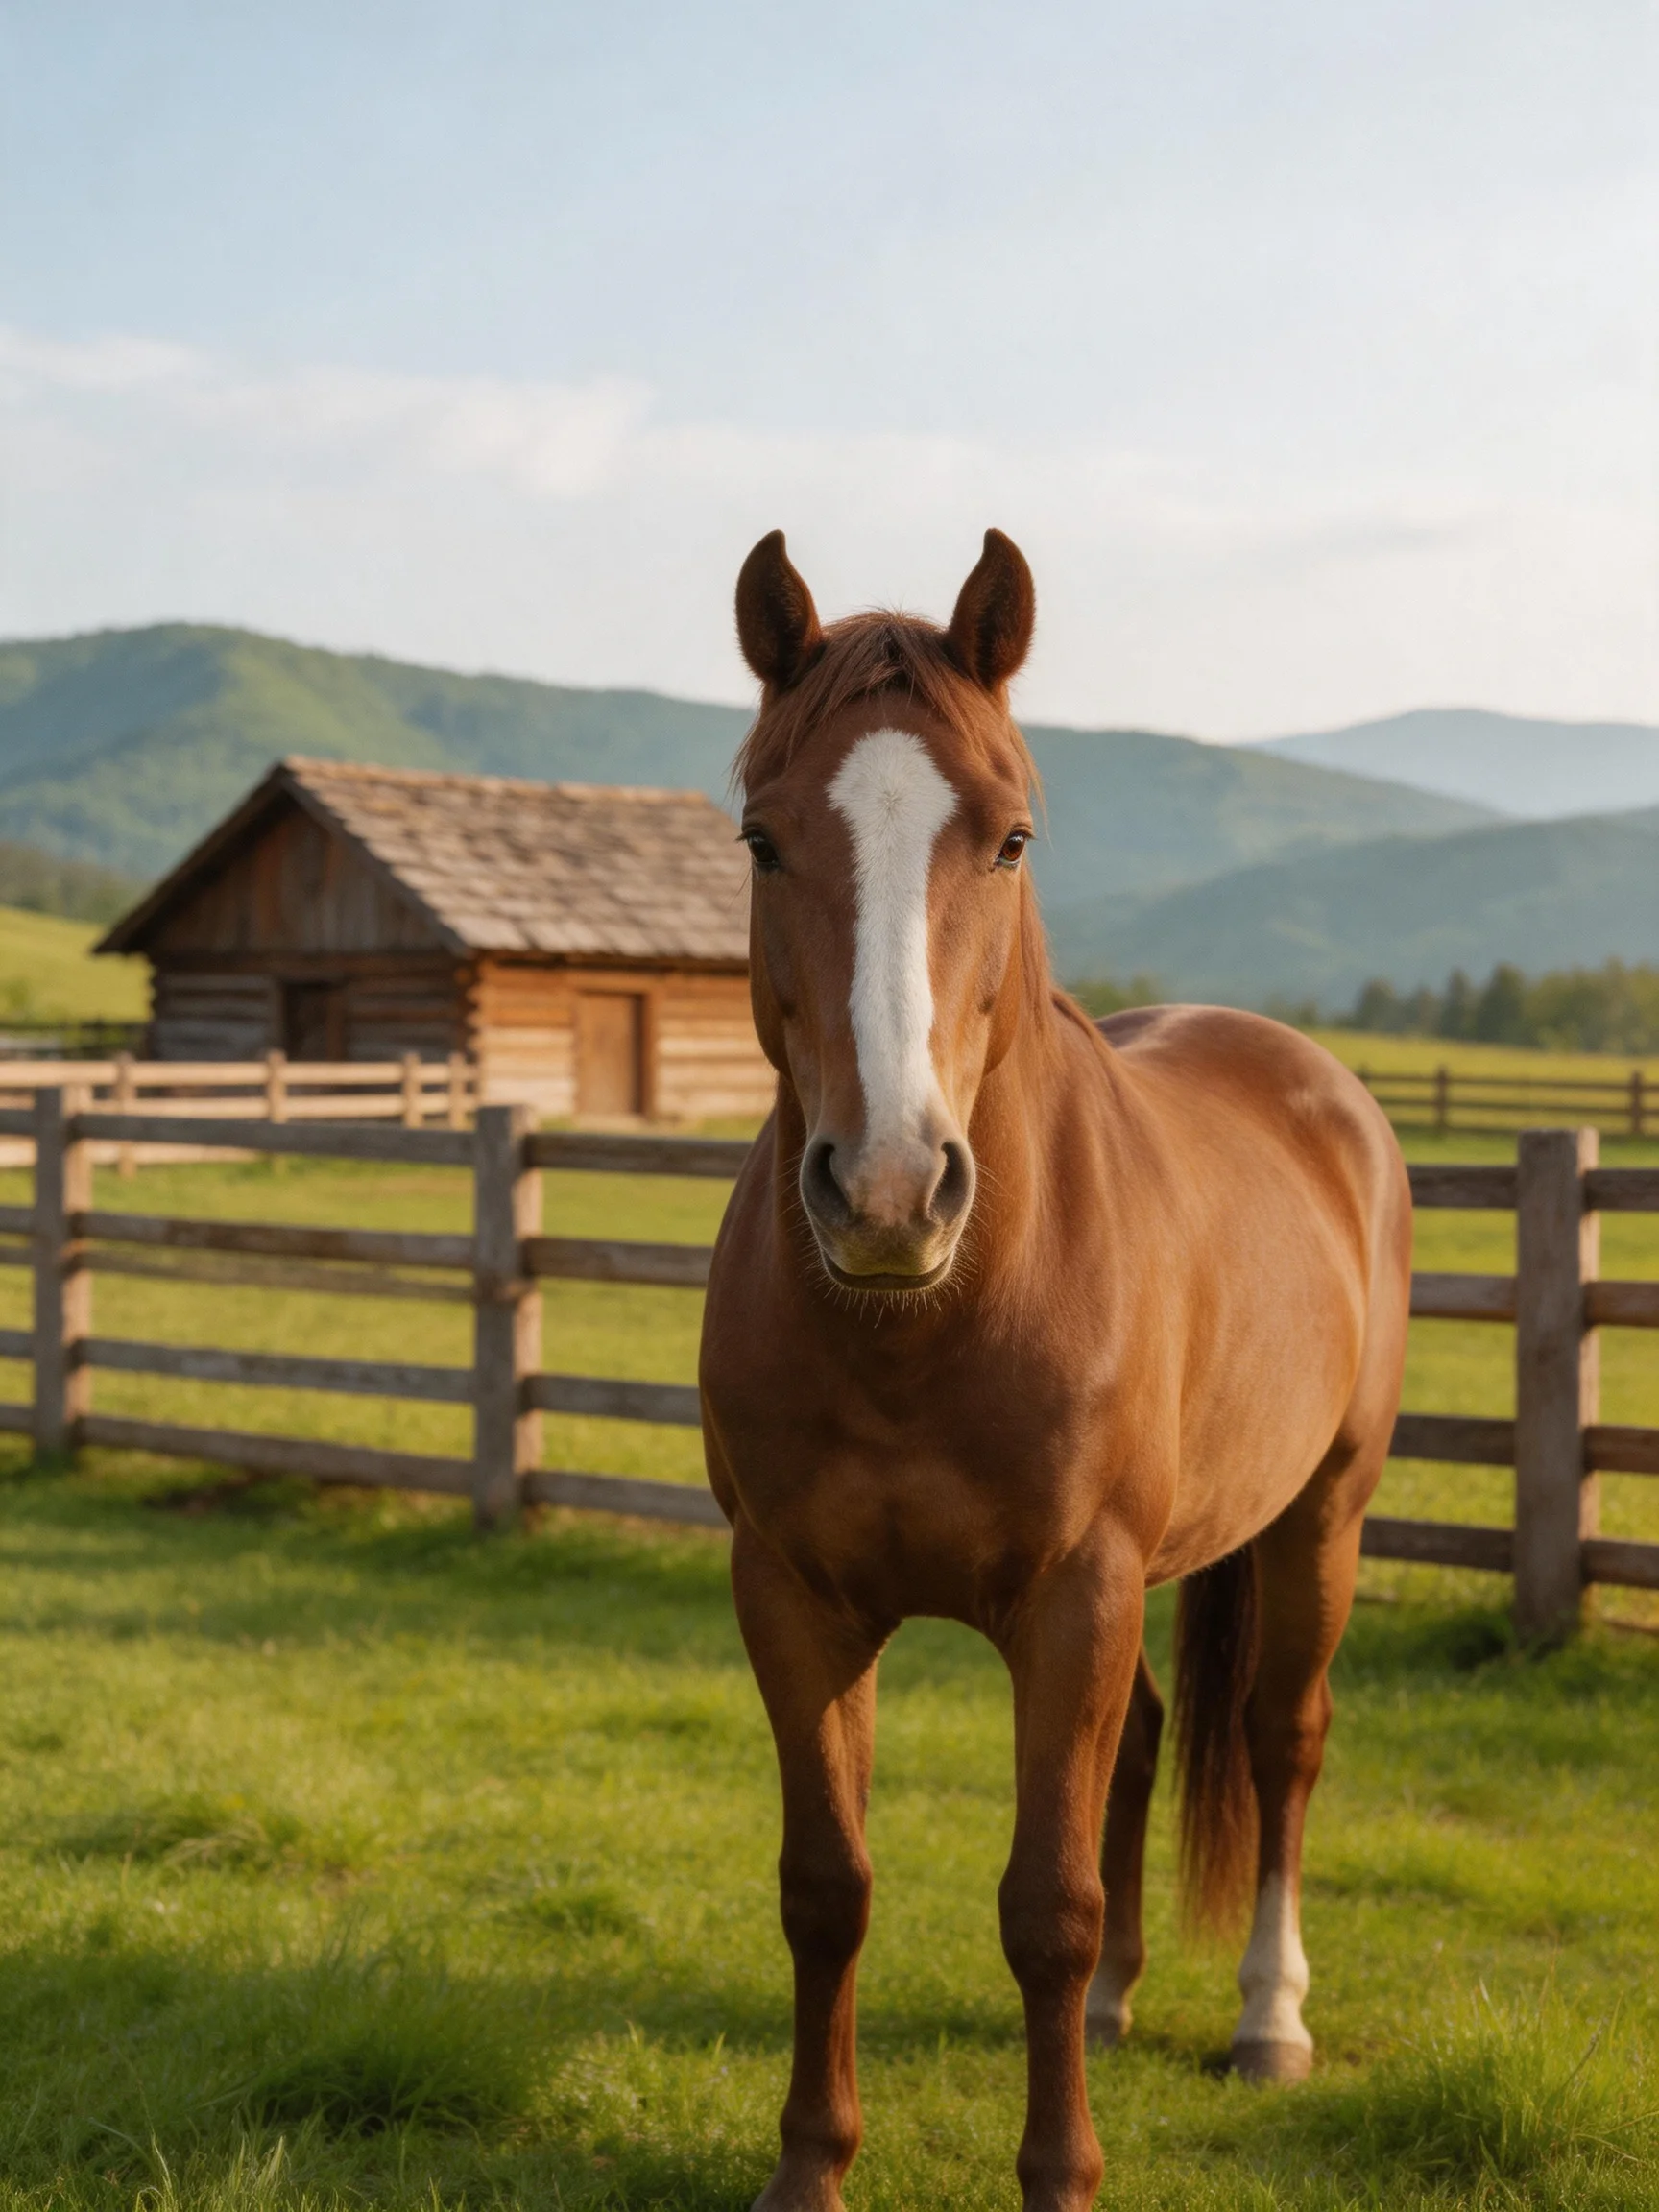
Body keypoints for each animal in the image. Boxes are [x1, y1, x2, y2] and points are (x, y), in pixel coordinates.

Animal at [699, 527, 1412, 2212]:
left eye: (1011, 838)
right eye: (762, 840)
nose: (889, 1190)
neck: (926, 1324)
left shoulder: (1075, 1594)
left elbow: (1048, 1904)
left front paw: (1062, 2173)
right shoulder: (792, 1596)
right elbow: (828, 1887)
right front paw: (810, 2166)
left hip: (1321, 1521)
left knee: (1281, 1746)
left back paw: (1267, 2021)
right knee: (1145, 1746)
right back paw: (1118, 2008)